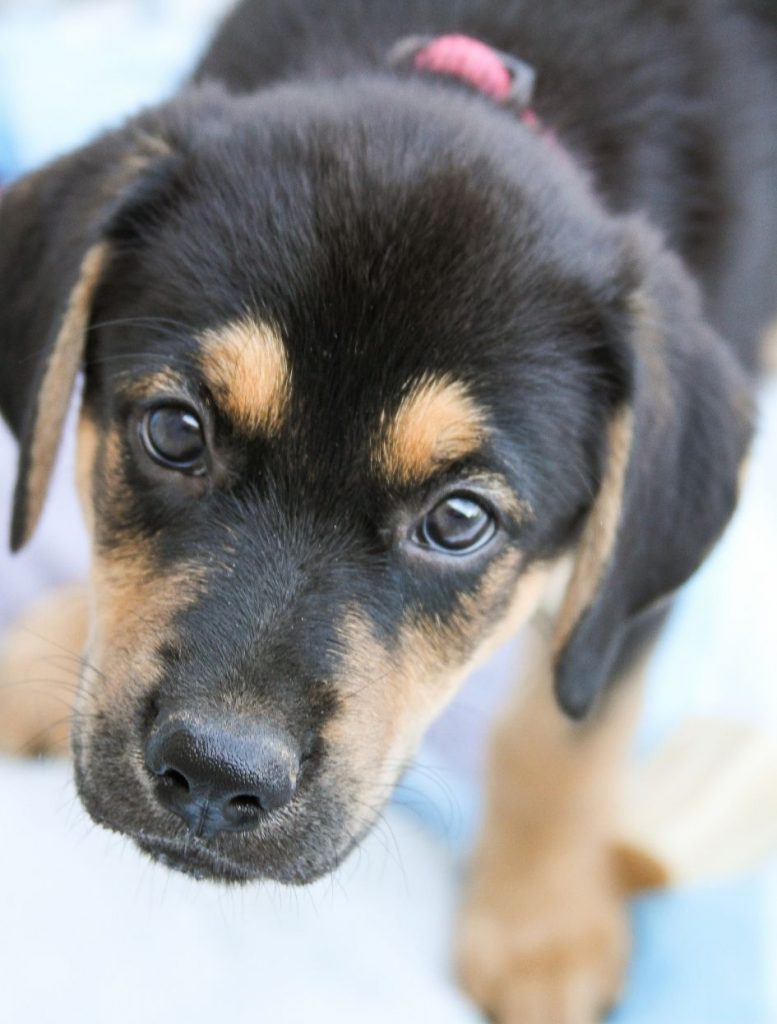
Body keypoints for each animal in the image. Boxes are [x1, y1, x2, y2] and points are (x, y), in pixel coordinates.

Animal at [1, 0, 777, 1019]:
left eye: (457, 521)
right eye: (174, 431)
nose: (215, 774)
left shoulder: (623, 603)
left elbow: (568, 726)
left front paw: (541, 926)